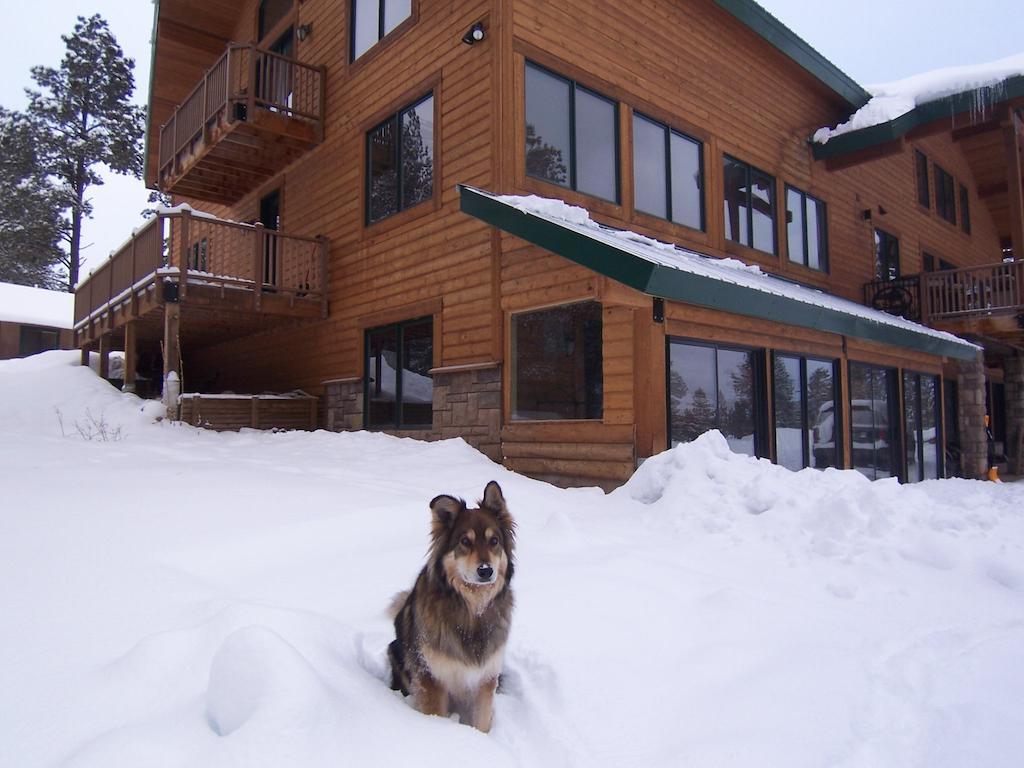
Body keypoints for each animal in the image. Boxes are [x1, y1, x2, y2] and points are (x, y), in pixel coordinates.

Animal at [387, 481, 516, 733]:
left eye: (494, 541)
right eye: (465, 542)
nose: (486, 571)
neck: (472, 609)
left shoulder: (486, 679)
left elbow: (481, 722)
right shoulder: (432, 678)